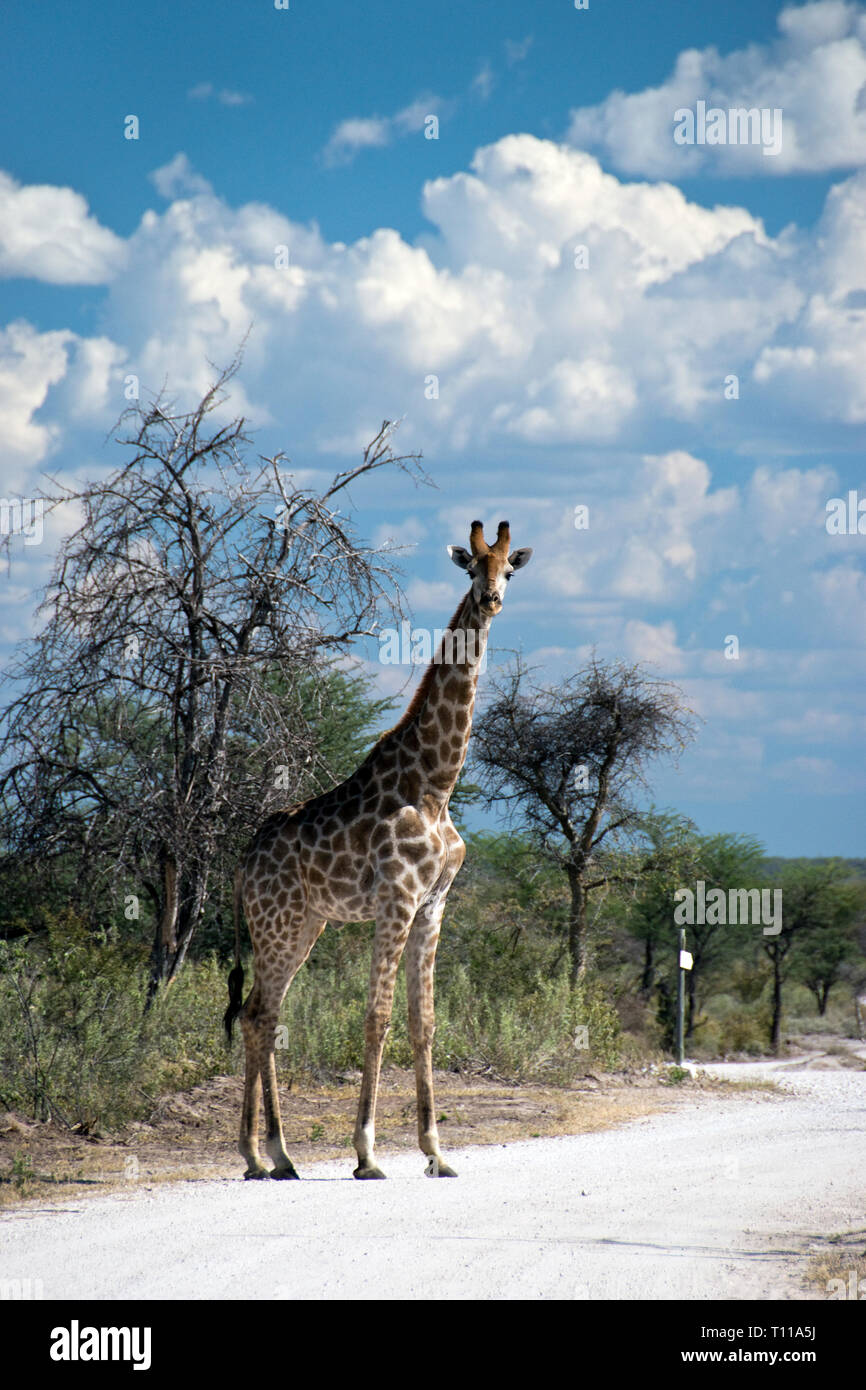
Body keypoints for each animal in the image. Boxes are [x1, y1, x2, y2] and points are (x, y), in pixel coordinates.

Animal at [224, 519, 532, 1180]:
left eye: (508, 570)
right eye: (472, 567)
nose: (492, 599)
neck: (437, 784)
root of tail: (243, 862)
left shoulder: (433, 905)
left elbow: (424, 1021)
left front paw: (436, 1151)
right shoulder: (396, 899)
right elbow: (377, 1016)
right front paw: (366, 1153)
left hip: (306, 923)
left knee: (261, 1013)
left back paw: (271, 1157)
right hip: (278, 923)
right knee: (261, 1015)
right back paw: (265, 1153)